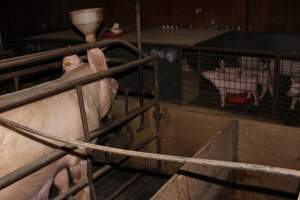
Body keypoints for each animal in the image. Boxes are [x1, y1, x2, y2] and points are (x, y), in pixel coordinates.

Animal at [0, 48, 118, 200]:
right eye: (109, 79)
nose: (116, 82)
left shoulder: (57, 159)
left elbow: (62, 182)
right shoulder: (80, 150)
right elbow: (82, 182)